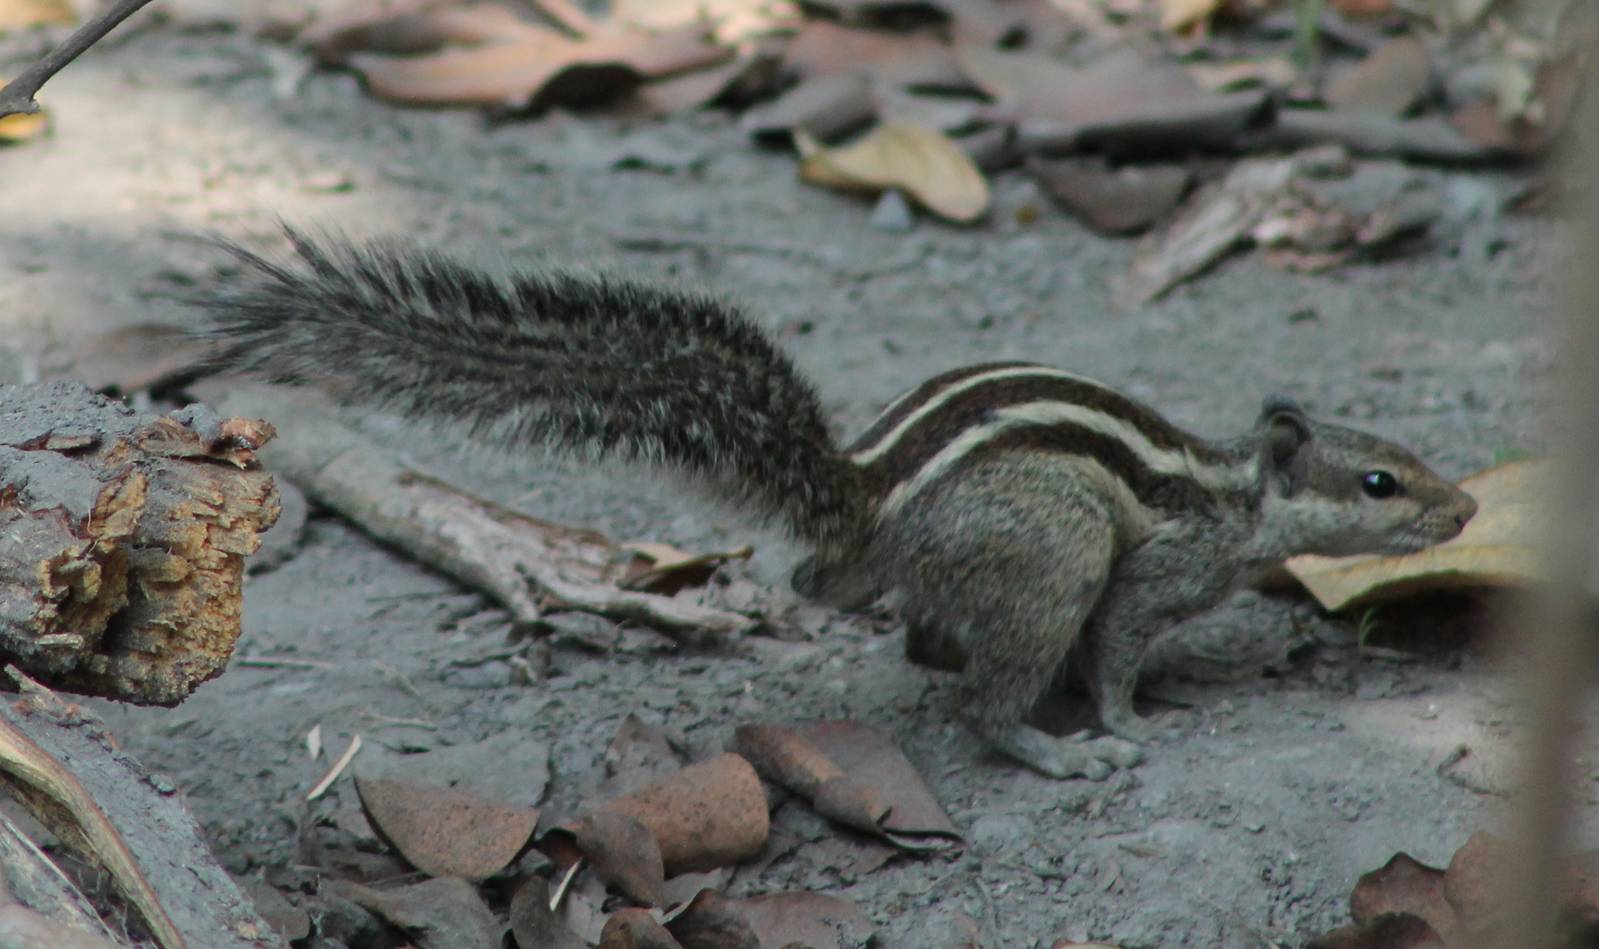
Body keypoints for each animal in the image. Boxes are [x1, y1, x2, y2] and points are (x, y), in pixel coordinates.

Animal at [198, 228, 1479, 781]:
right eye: (1382, 482)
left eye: (1414, 460)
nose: (1465, 511)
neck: (1235, 493)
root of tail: (862, 507)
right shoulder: (1154, 571)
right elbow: (1117, 643)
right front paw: (1126, 721)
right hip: (1049, 553)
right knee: (979, 697)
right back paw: (1046, 747)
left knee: (926, 641)